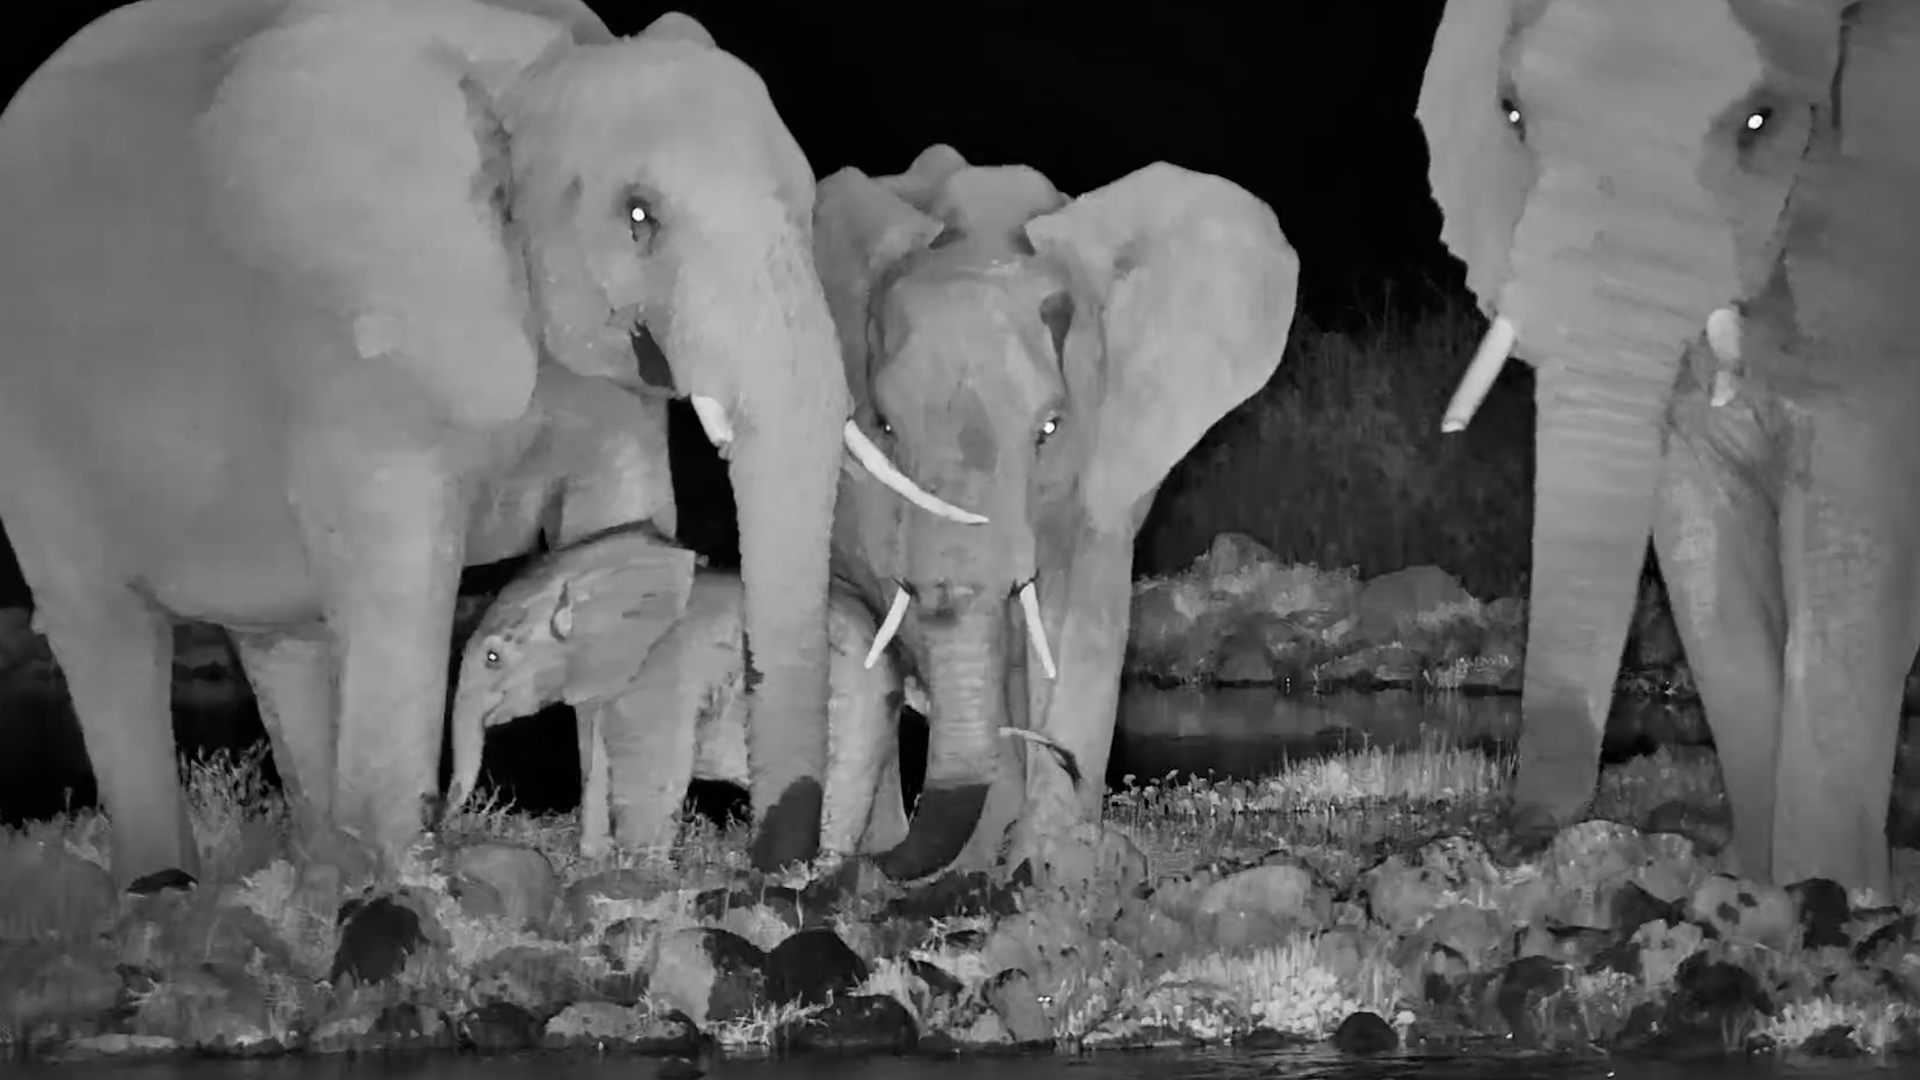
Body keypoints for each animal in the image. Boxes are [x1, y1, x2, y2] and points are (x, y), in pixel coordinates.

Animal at [450, 549, 911, 858]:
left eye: (493, 658)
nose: (445, 817)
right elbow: (600, 760)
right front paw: (596, 859)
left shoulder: (662, 668)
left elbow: (648, 768)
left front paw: (637, 871)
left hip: (856, 695)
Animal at [1416, 0, 1920, 894]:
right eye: (1511, 114)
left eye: (1760, 122)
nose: (1519, 843)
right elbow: (1701, 548)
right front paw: (1757, 885)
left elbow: (1852, 554)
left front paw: (1831, 890)